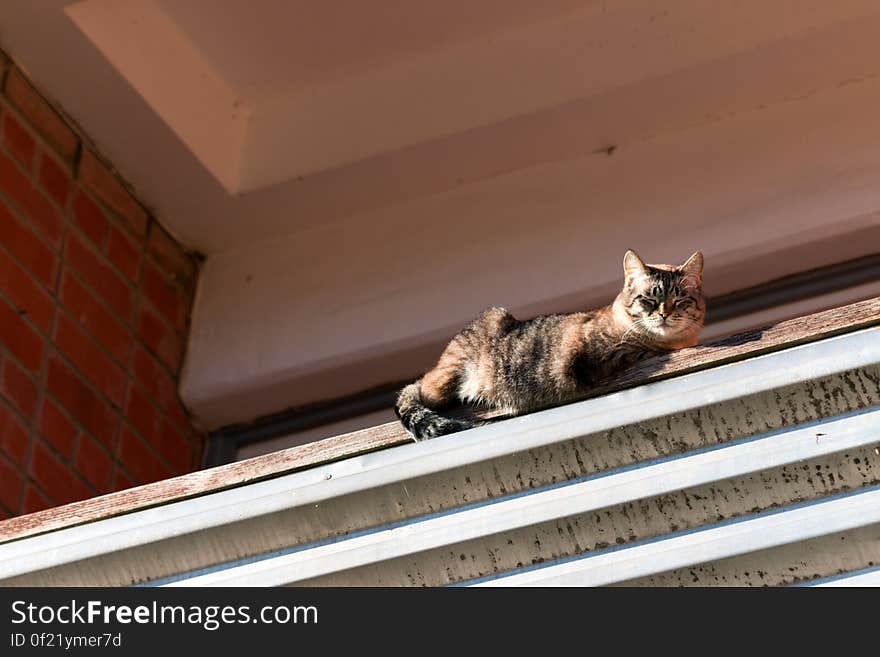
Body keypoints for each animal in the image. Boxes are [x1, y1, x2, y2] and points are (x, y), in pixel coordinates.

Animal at [396, 250, 704, 440]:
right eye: (649, 299)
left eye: (679, 300)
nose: (664, 313)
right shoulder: (594, 359)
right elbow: (640, 350)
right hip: (449, 374)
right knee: (418, 388)